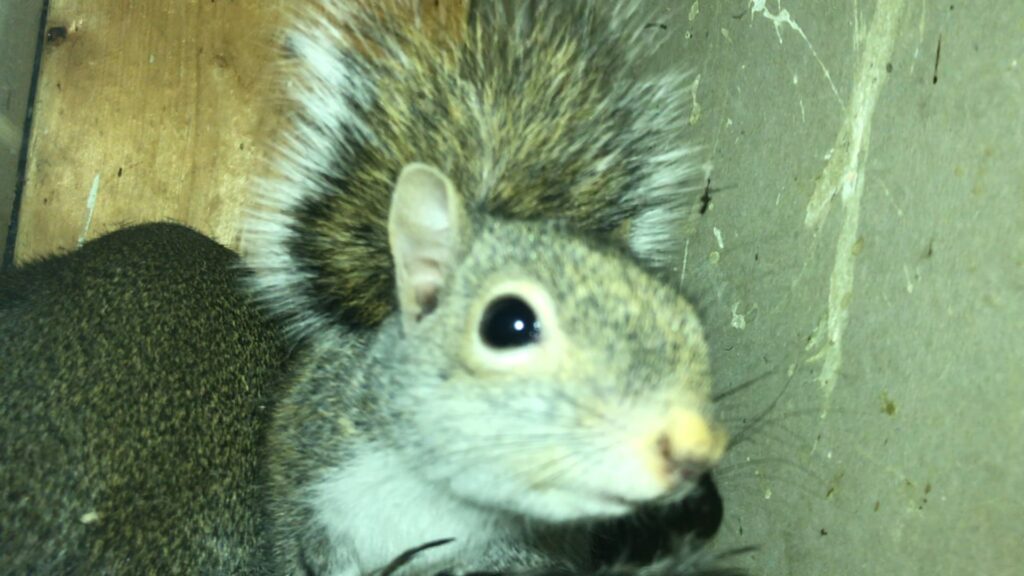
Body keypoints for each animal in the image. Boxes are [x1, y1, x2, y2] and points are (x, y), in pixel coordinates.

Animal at [245, 1, 731, 574]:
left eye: (692, 321)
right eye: (508, 324)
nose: (696, 447)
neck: (441, 497)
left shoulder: (519, 555)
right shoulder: (313, 496)